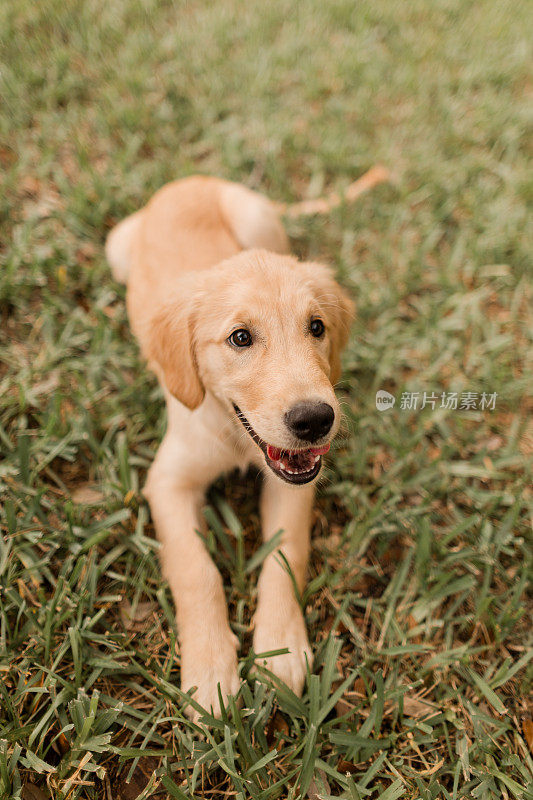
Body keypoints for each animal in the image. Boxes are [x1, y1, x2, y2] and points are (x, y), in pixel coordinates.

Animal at [105, 177, 354, 720]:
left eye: (317, 327)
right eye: (240, 338)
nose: (315, 420)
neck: (235, 435)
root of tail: (190, 181)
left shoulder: (295, 483)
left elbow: (286, 555)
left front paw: (280, 650)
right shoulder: (168, 482)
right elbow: (196, 570)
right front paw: (211, 668)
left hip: (257, 218)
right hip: (117, 247)